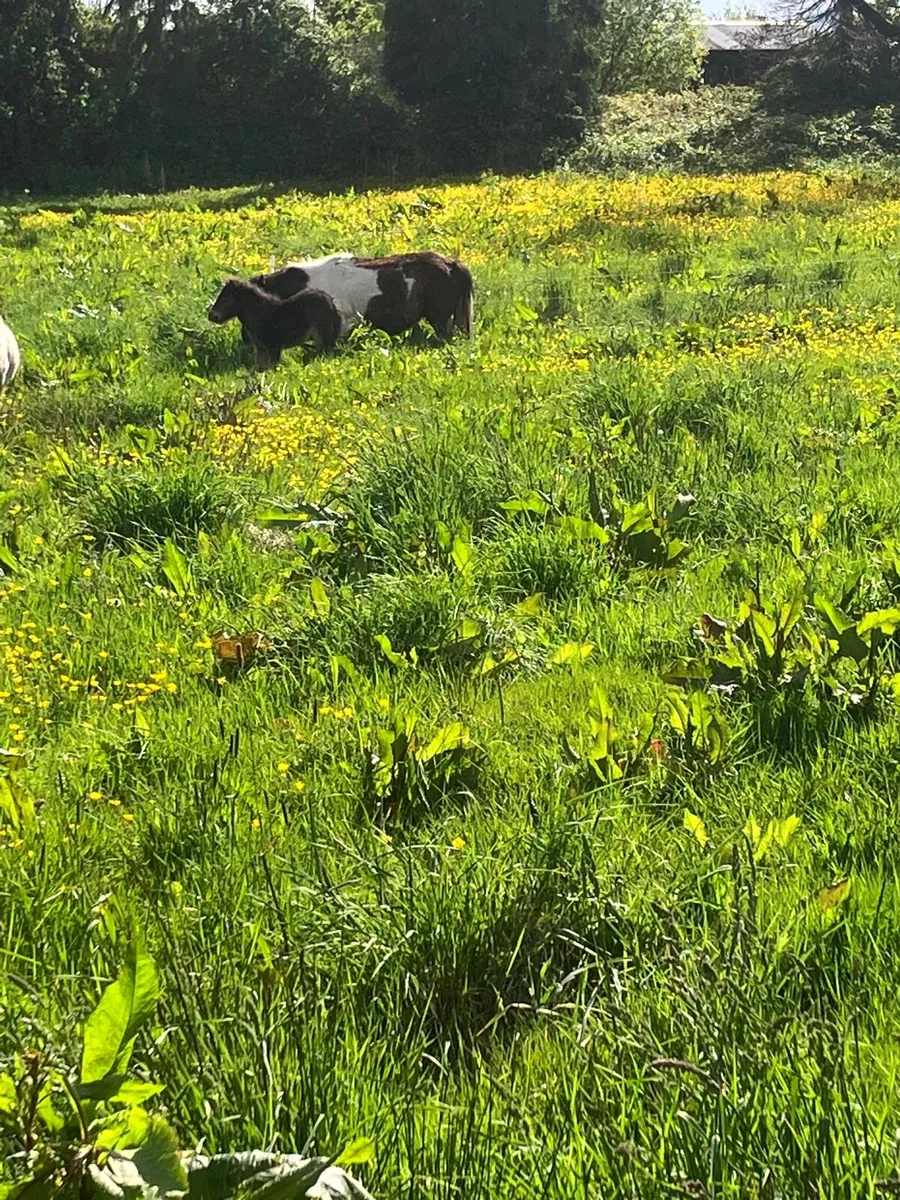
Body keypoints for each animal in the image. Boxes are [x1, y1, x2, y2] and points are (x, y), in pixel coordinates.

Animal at [208, 279, 342, 369]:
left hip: (322, 338)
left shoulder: (273, 348)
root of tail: (331, 302)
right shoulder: (261, 349)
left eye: (226, 298)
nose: (211, 316)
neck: (260, 313)